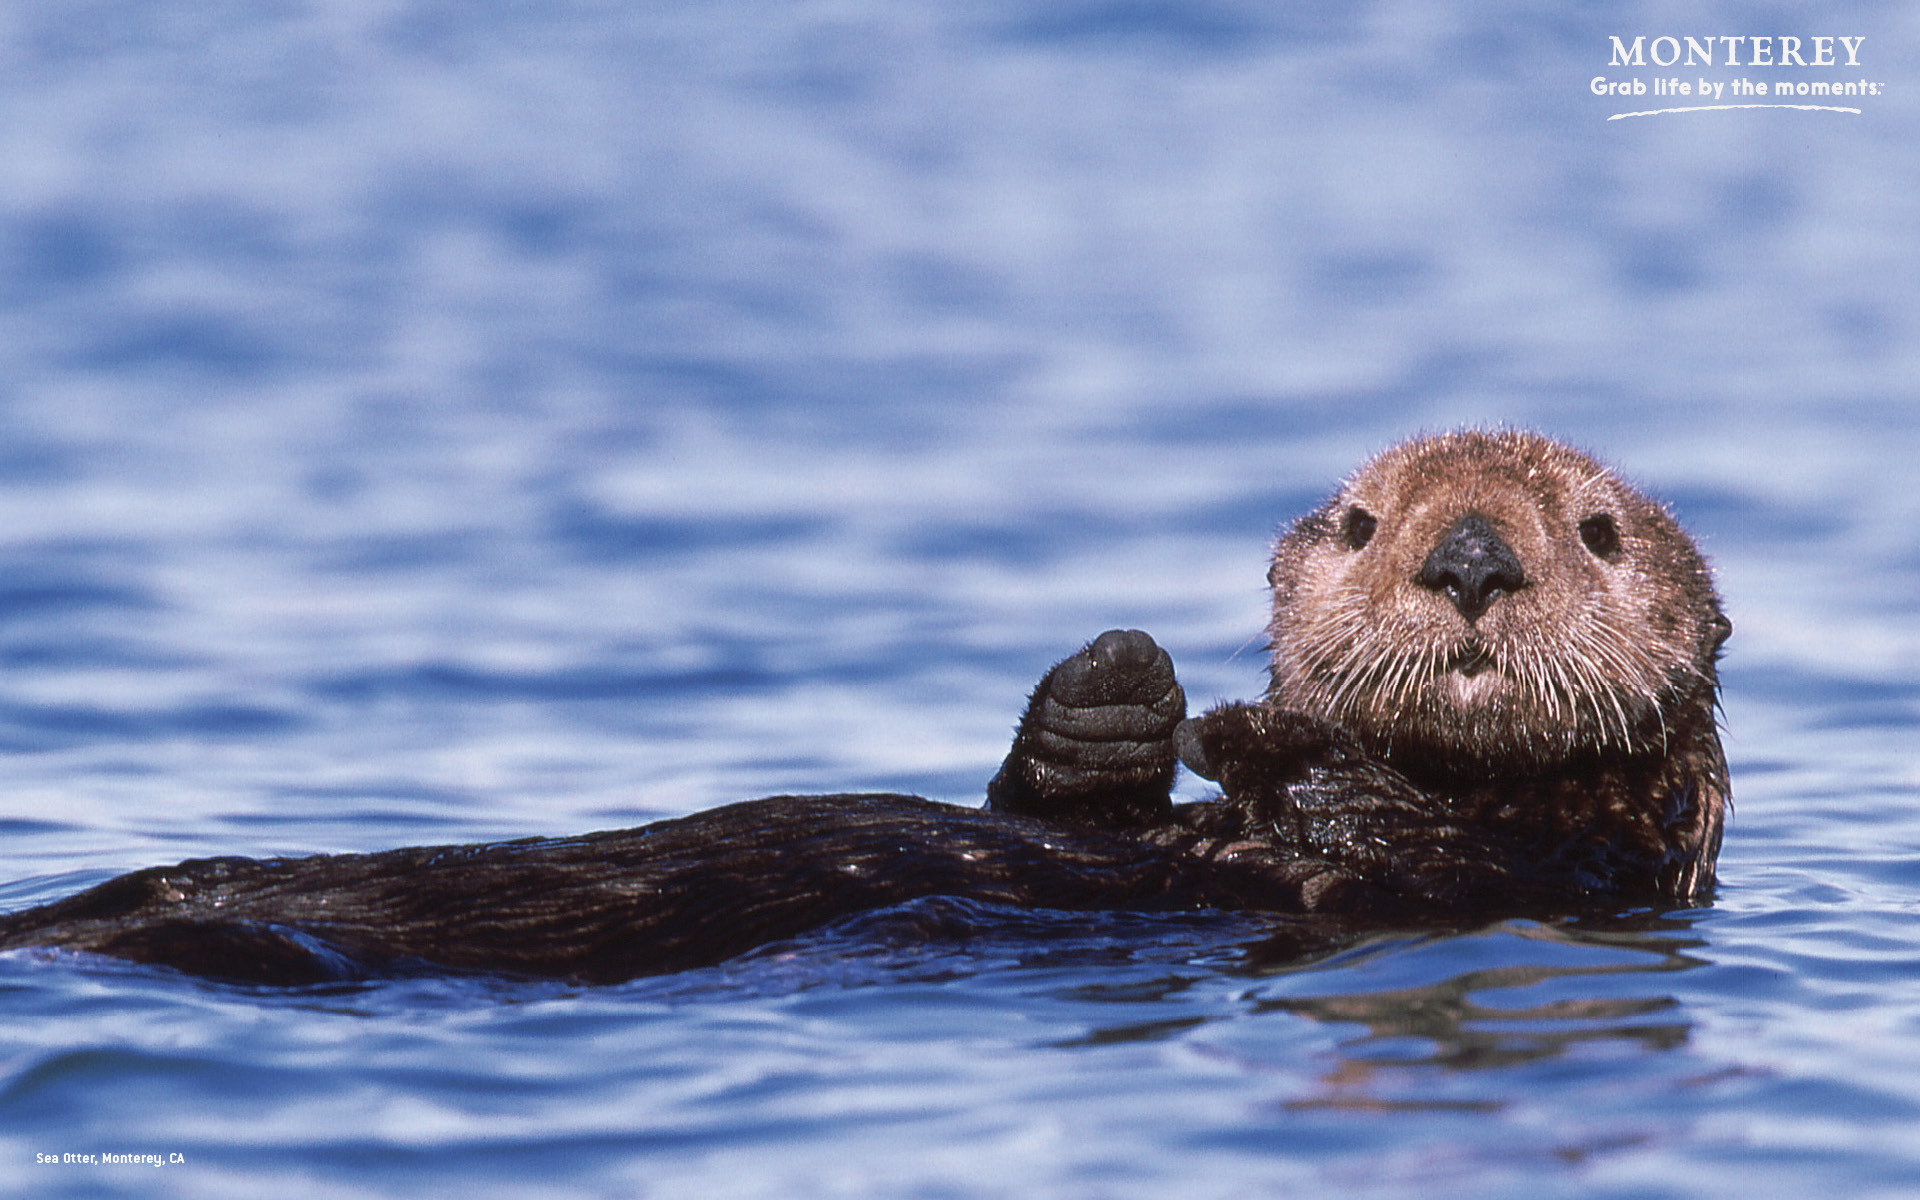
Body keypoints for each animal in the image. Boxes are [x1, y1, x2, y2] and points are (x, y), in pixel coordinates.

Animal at [0, 431, 1730, 985]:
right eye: (1367, 523)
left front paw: (1263, 739)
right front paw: (1119, 692)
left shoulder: (1583, 865)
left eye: (1596, 532)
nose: (1468, 556)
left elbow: (1396, 839)